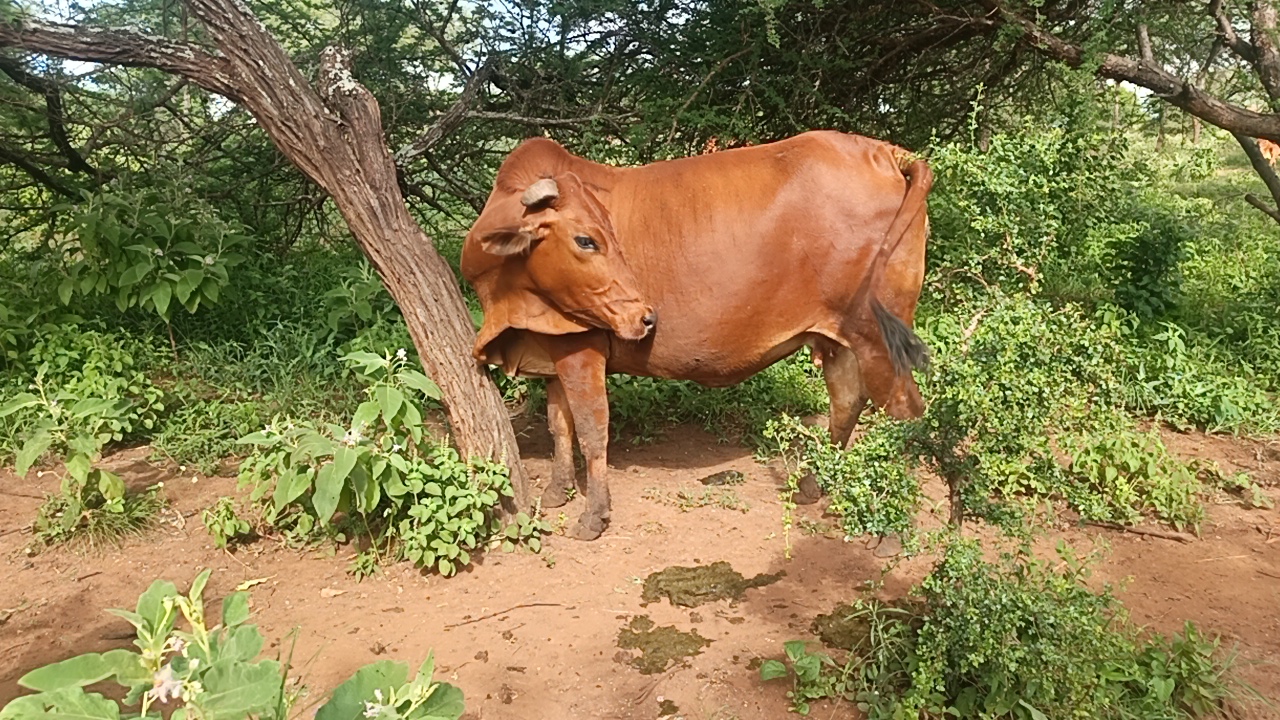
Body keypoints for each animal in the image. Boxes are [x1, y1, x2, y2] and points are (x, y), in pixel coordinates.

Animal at [460, 130, 932, 540]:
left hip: (881, 338)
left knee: (904, 415)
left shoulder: (582, 348)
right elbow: (560, 425)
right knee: (847, 402)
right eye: (586, 240)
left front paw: (594, 516)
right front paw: (558, 491)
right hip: (840, 339)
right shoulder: (554, 346)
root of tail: (883, 151)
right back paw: (815, 484)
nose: (646, 316)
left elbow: (592, 429)